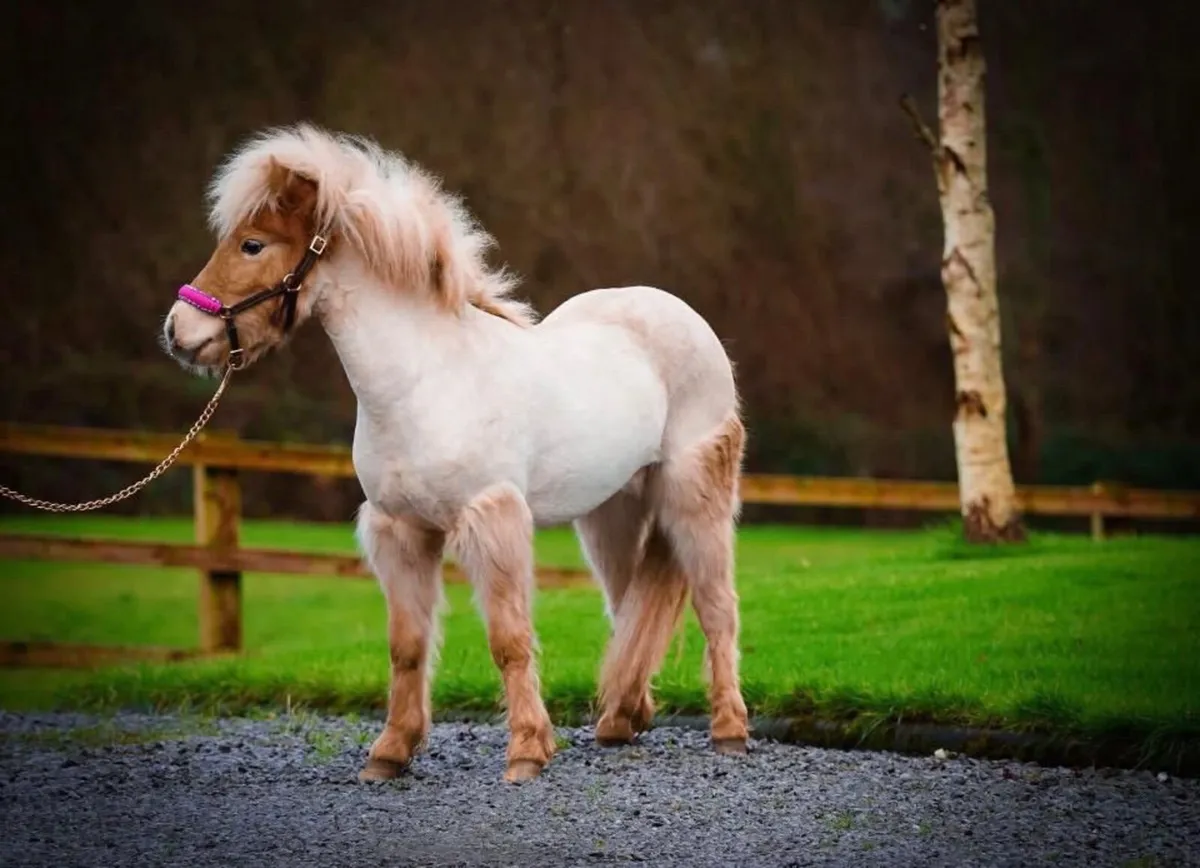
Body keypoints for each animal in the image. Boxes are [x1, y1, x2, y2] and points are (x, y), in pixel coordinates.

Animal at [163, 124, 750, 783]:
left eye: (253, 244)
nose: (179, 332)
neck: (426, 380)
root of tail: (680, 316)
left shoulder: (490, 519)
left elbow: (509, 641)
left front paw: (526, 753)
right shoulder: (400, 529)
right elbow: (407, 646)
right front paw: (390, 753)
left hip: (694, 495)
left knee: (716, 606)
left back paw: (729, 731)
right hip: (611, 513)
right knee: (629, 608)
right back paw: (622, 719)